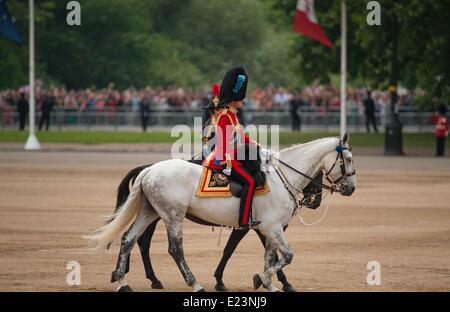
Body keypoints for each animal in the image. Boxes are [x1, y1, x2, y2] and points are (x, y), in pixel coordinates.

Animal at [84, 134, 356, 292]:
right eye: (349, 159)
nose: (351, 188)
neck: (282, 177)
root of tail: (149, 170)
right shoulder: (270, 227)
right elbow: (286, 255)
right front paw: (260, 279)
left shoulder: (269, 229)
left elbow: (269, 256)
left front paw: (269, 283)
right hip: (172, 216)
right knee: (174, 249)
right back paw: (193, 284)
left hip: (150, 212)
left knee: (129, 240)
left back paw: (123, 281)